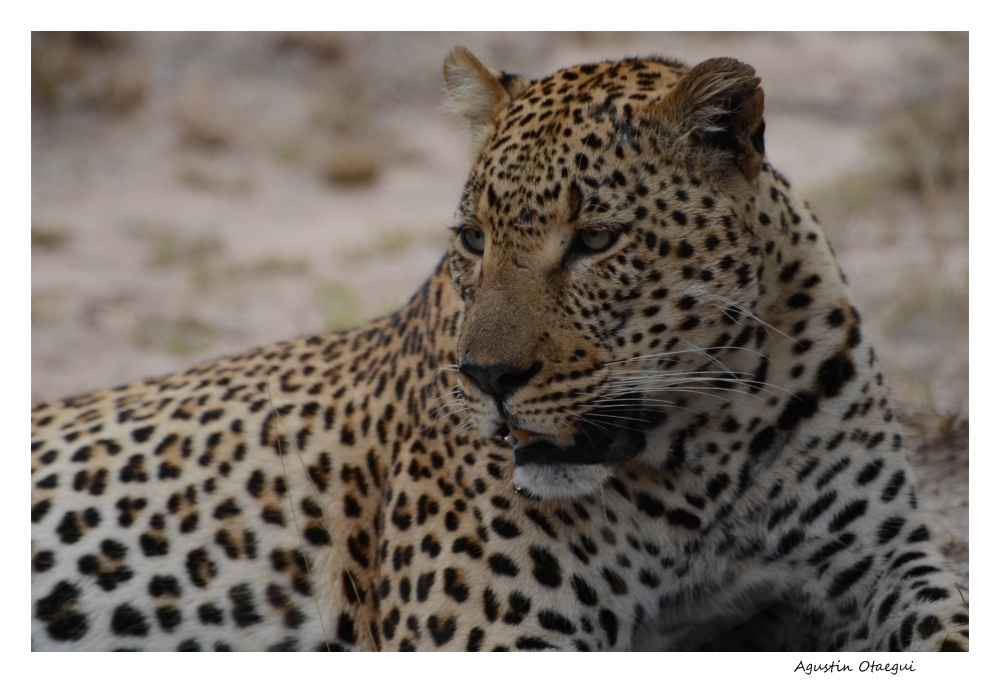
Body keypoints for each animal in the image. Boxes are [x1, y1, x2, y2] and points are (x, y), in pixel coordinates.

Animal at [31, 45, 968, 656]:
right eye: (473, 239)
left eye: (596, 240)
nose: (487, 378)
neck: (702, 448)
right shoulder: (489, 631)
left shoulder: (879, 557)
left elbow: (950, 617)